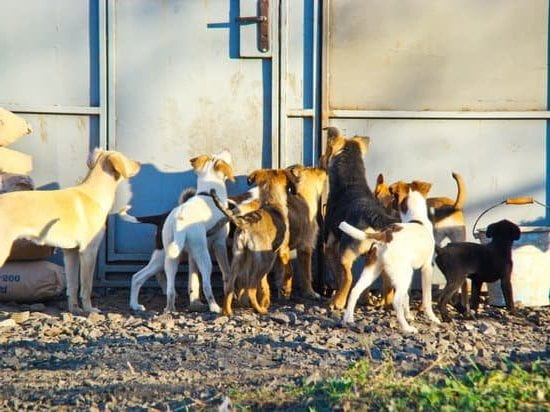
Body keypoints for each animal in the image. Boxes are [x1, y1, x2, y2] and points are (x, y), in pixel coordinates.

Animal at [0, 148, 142, 312]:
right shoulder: (89, 251)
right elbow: (86, 286)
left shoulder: (71, 253)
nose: (140, 163)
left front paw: (74, 310)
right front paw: (89, 310)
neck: (94, 195)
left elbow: (73, 285)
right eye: (126, 159)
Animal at [211, 167, 298, 316]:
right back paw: (260, 310)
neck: (271, 202)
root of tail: (245, 224)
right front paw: (285, 291)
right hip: (267, 259)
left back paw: (227, 311)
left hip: (238, 258)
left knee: (230, 285)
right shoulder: (283, 251)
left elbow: (263, 284)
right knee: (251, 288)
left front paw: (265, 299)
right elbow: (288, 271)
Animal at [322, 129, 398, 308]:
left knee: (349, 278)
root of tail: (372, 214)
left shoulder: (330, 246)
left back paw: (338, 302)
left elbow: (339, 276)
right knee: (383, 283)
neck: (352, 181)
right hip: (378, 258)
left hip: (346, 254)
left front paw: (335, 297)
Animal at [340, 182, 444, 334]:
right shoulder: (426, 268)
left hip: (375, 272)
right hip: (403, 274)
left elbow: (407, 296)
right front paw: (433, 318)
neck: (417, 219)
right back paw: (407, 327)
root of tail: (385, 235)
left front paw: (409, 315)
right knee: (396, 301)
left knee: (354, 291)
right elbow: (427, 299)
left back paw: (348, 319)